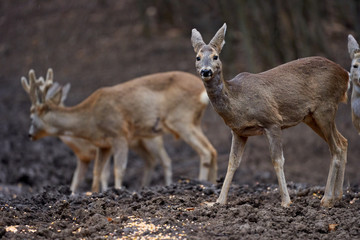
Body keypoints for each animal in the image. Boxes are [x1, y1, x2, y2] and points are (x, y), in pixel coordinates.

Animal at [21, 68, 217, 192]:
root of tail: (202, 91)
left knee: (204, 151)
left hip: (181, 119)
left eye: (31, 117)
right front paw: (94, 194)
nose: (29, 135)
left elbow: (118, 169)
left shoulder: (119, 133)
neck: (90, 119)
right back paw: (212, 183)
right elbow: (96, 172)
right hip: (191, 121)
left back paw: (201, 183)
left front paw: (117, 191)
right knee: (212, 150)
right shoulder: (103, 144)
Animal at [191, 23, 348, 207]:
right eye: (198, 57)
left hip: (325, 107)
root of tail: (345, 75)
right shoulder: (238, 131)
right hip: (311, 116)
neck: (238, 102)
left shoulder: (272, 121)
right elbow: (232, 163)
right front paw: (218, 201)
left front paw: (286, 202)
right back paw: (337, 196)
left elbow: (277, 160)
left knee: (335, 148)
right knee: (343, 142)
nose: (206, 71)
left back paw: (327, 198)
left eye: (215, 56)